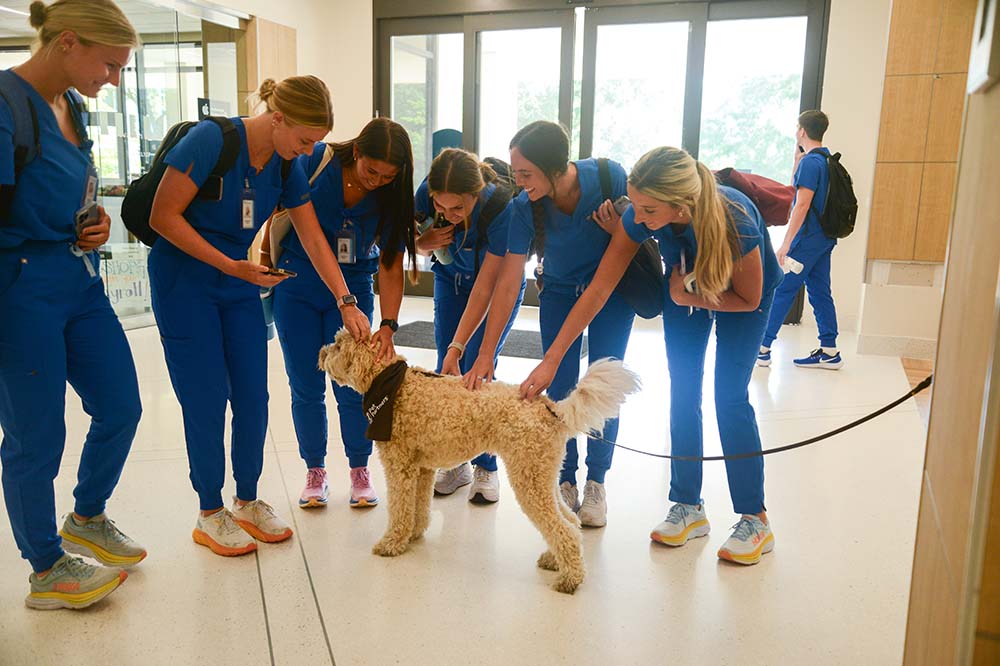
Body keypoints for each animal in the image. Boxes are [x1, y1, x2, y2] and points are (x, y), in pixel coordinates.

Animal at [318, 326, 640, 592]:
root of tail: (550, 408)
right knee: (569, 519)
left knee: (564, 529)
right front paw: (413, 535)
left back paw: (570, 579)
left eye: (338, 345)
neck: (395, 385)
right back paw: (553, 560)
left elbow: (399, 509)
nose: (321, 352)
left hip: (529, 477)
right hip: (542, 474)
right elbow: (418, 507)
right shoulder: (422, 468)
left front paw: (391, 543)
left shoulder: (400, 467)